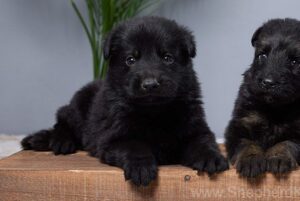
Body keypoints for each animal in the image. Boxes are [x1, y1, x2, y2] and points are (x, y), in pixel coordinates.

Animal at [22, 16, 227, 186]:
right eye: (130, 59)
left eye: (167, 58)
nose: (150, 84)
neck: (154, 112)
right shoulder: (112, 137)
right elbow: (134, 145)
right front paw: (141, 167)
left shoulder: (196, 127)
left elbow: (202, 141)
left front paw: (211, 157)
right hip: (79, 104)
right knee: (63, 119)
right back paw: (59, 140)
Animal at [226, 18, 300, 177]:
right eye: (262, 55)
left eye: (295, 61)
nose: (268, 83)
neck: (275, 108)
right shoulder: (239, 124)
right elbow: (246, 142)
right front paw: (251, 159)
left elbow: (286, 142)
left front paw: (278, 157)